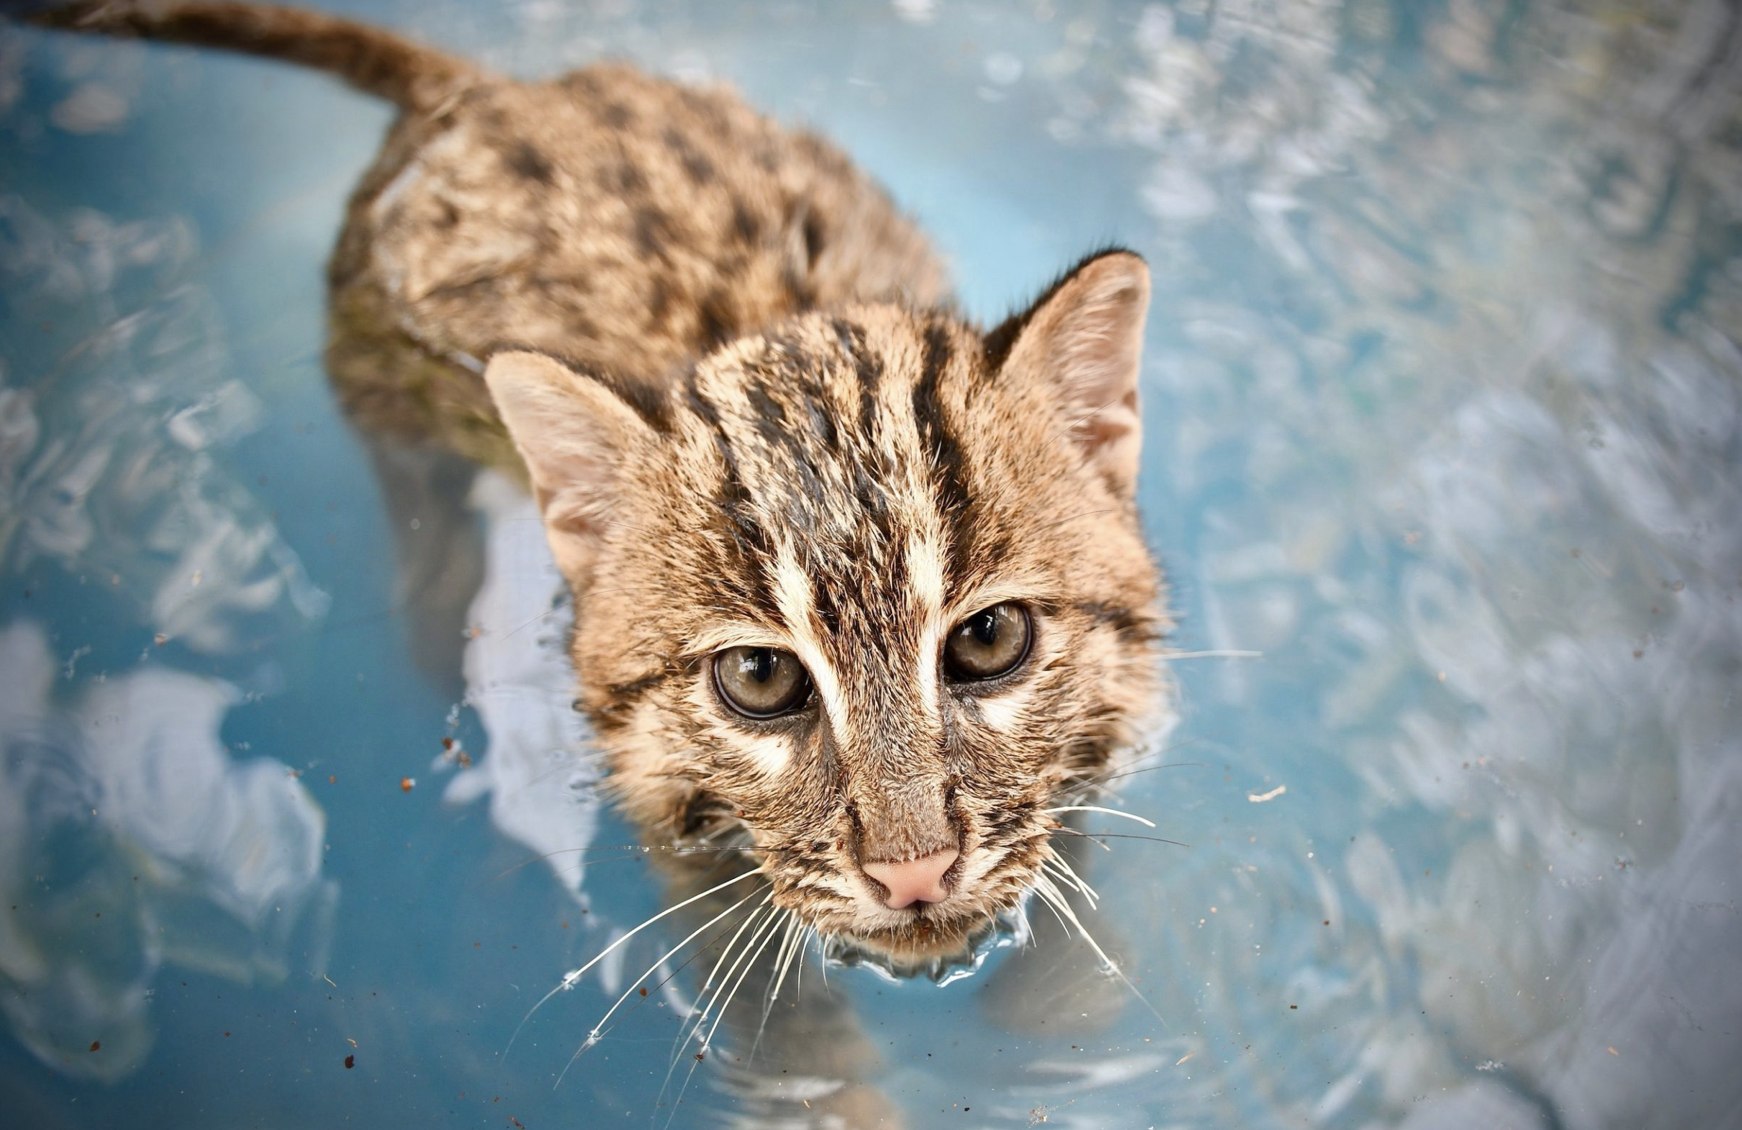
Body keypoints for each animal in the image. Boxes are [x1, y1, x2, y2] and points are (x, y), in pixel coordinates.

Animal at [27, 0, 1170, 968]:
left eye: (989, 638)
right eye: (759, 678)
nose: (914, 872)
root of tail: (487, 91)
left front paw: (1062, 1000)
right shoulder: (667, 816)